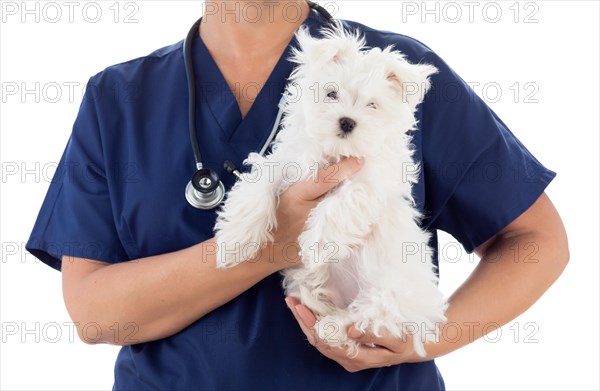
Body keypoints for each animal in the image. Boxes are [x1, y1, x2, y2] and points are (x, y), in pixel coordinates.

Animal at [214, 26, 446, 358]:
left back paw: (334, 329)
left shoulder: (368, 182)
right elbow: (257, 186)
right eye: (331, 94)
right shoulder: (287, 164)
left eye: (372, 105)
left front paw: (318, 245)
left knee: (369, 320)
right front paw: (236, 242)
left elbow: (341, 204)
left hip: (389, 295)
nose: (347, 121)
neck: (334, 154)